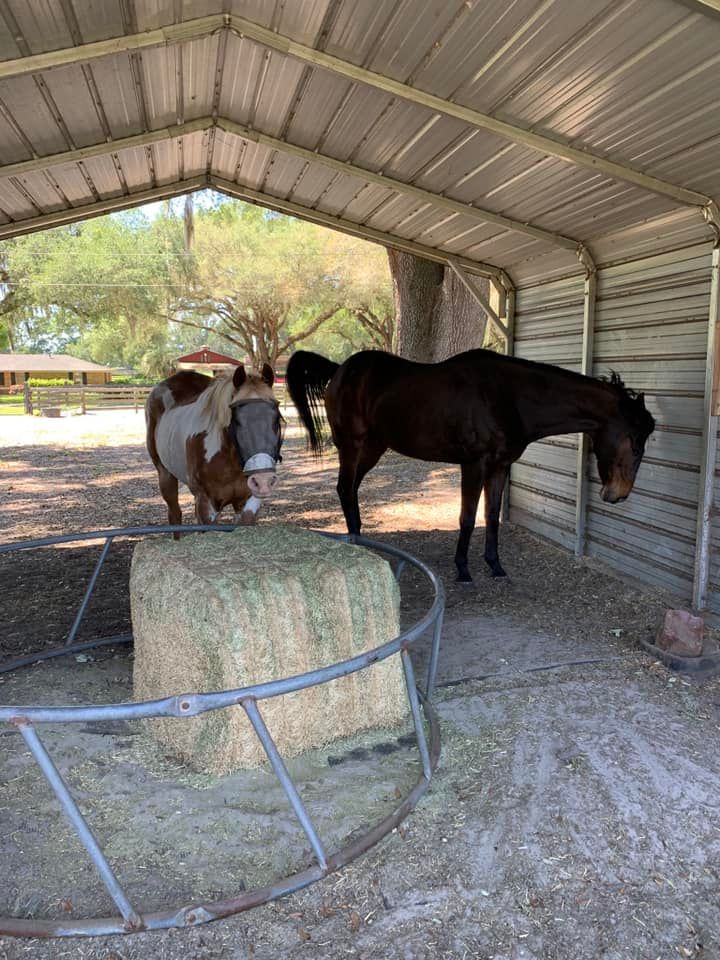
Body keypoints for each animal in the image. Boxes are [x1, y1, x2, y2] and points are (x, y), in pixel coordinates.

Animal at [146, 363, 284, 528]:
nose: (263, 480)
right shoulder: (205, 504)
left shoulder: (249, 502)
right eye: (236, 420)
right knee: (175, 514)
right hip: (165, 475)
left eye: (277, 418)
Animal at [286, 348, 655, 582]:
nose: (618, 495)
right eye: (635, 441)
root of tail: (340, 370)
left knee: (350, 491)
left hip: (374, 448)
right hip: (352, 446)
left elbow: (490, 515)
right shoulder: (473, 464)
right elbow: (467, 516)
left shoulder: (500, 466)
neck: (510, 395)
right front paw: (463, 570)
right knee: (345, 489)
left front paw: (495, 566)